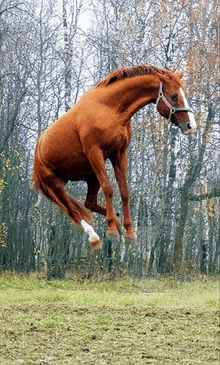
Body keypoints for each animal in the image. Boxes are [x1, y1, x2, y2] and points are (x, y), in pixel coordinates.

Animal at [32, 64, 196, 247]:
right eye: (174, 96)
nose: (191, 126)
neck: (109, 110)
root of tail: (37, 153)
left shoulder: (118, 154)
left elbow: (124, 191)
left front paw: (129, 231)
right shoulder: (95, 153)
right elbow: (109, 188)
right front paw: (112, 231)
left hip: (90, 176)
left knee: (89, 203)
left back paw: (116, 222)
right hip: (54, 182)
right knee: (71, 209)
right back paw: (95, 235)